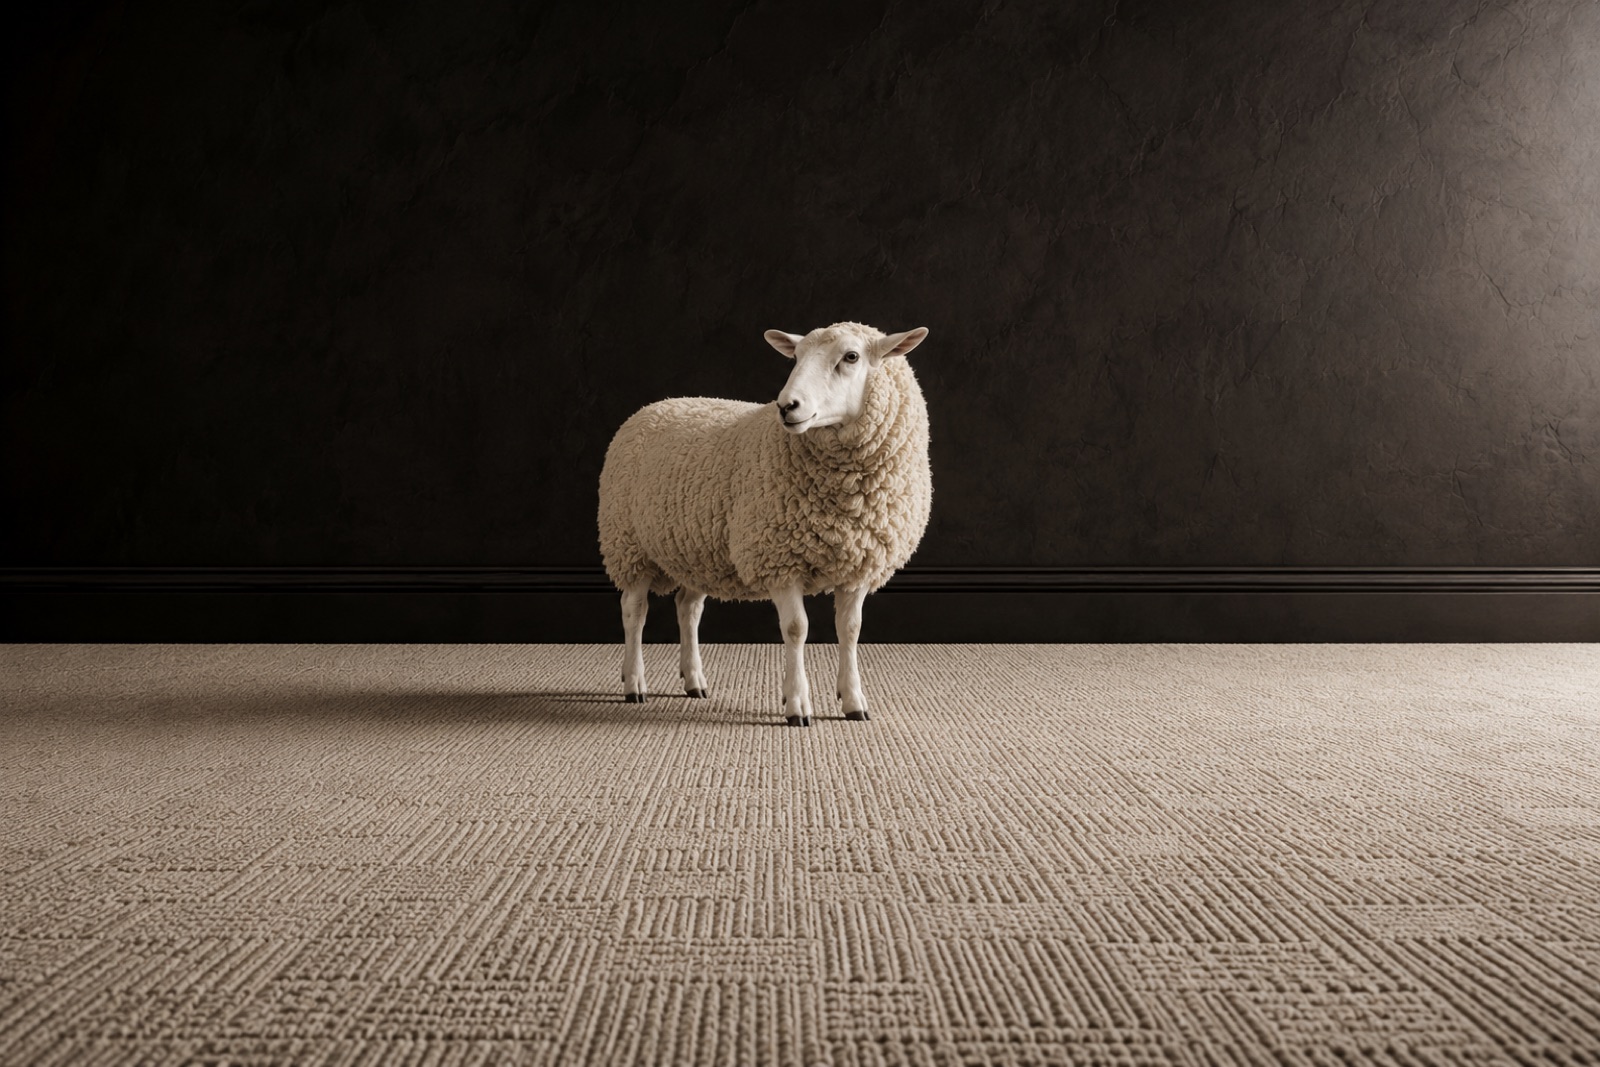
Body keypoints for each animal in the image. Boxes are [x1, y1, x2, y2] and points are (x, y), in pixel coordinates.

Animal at [597, 322, 932, 726]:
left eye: (851, 357)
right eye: (796, 357)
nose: (787, 406)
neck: (848, 496)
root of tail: (653, 407)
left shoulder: (858, 566)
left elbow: (850, 631)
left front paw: (853, 702)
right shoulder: (779, 560)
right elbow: (796, 628)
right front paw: (797, 704)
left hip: (697, 550)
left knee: (688, 608)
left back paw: (694, 681)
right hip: (627, 543)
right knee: (634, 611)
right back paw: (634, 683)